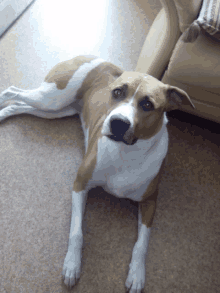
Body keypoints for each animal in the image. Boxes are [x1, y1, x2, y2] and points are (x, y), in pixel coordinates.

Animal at [0, 56, 195, 290]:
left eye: (147, 104)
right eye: (117, 92)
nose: (118, 122)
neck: (126, 154)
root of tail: (92, 57)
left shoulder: (150, 202)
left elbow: (142, 243)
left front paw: (137, 274)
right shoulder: (80, 184)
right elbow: (76, 232)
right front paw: (72, 265)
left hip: (54, 110)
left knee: (19, 105)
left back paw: (4, 114)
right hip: (51, 99)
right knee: (11, 91)